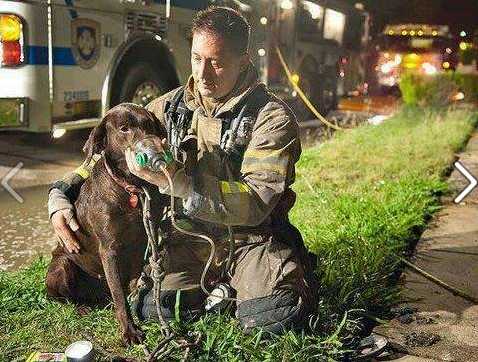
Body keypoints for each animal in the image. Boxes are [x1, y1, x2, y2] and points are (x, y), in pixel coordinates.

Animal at [45, 104, 168, 346]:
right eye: (124, 128)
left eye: (150, 125)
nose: (152, 150)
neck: (129, 188)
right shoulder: (109, 250)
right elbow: (120, 295)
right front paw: (129, 331)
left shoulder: (143, 241)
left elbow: (131, 284)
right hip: (62, 267)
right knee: (64, 298)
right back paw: (81, 308)